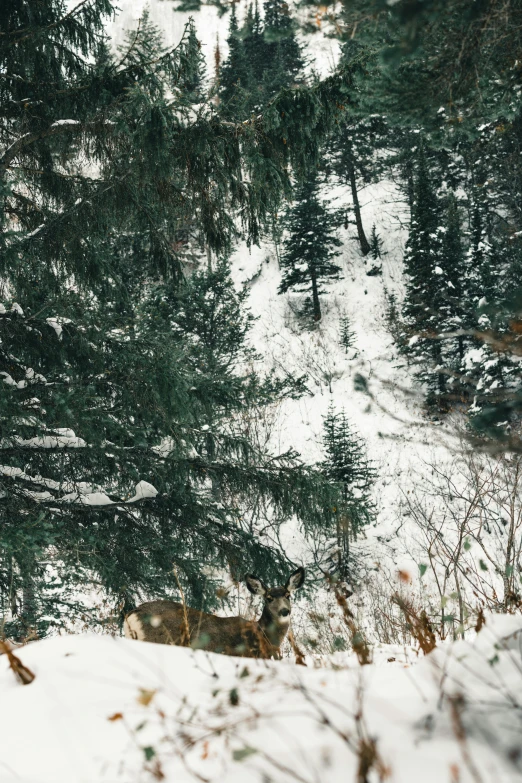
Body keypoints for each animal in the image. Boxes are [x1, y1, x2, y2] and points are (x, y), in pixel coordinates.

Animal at [123, 568, 302, 660]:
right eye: (269, 598)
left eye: (288, 595)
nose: (285, 611)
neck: (262, 635)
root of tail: (132, 615)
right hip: (156, 640)